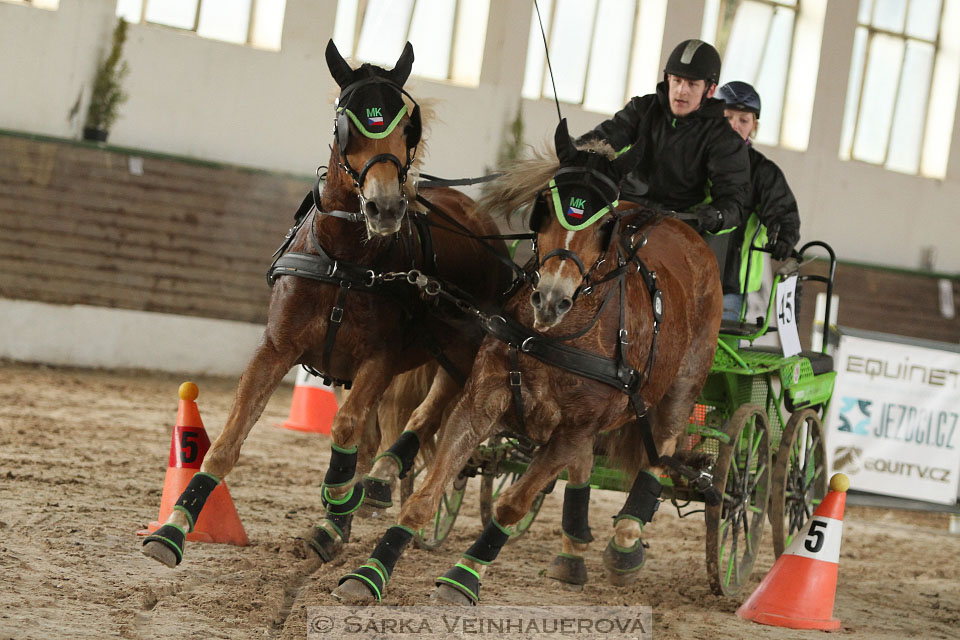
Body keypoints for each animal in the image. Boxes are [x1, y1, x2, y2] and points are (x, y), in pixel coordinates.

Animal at [141, 41, 510, 568]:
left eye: (408, 126)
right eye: (346, 122)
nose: (385, 207)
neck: (345, 262)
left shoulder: (380, 359)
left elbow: (344, 429)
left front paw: (335, 510)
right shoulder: (277, 349)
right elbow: (228, 441)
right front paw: (174, 526)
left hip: (459, 354)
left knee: (425, 415)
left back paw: (377, 484)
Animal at [336, 120, 720, 604]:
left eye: (606, 222)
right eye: (545, 205)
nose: (551, 298)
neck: (553, 337)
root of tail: (684, 232)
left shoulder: (573, 430)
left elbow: (512, 505)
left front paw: (463, 578)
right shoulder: (483, 401)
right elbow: (428, 492)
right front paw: (370, 572)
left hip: (681, 387)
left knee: (659, 452)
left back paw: (626, 541)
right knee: (584, 468)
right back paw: (572, 551)